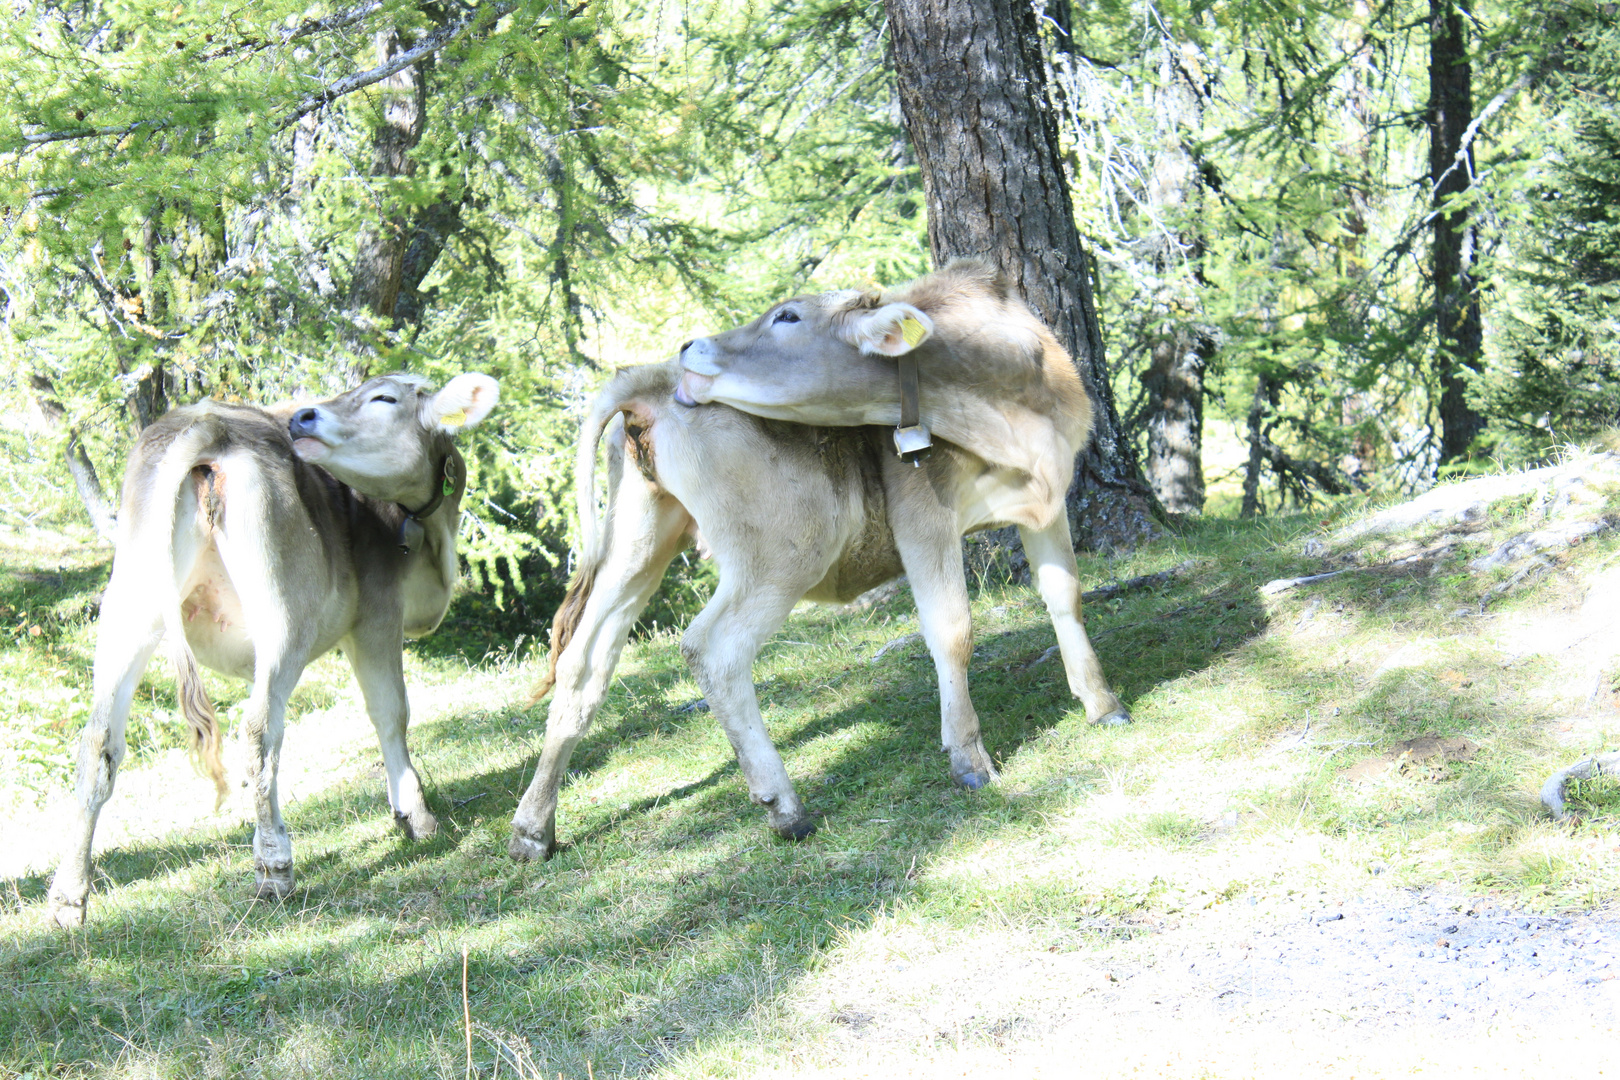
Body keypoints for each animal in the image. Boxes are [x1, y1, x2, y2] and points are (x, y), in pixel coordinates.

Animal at [47, 374, 495, 932]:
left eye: (382, 398)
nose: (302, 417)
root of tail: (208, 423)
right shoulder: (377, 614)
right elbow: (391, 712)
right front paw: (416, 815)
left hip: (130, 605)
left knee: (99, 741)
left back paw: (68, 897)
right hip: (285, 617)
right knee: (260, 728)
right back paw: (274, 868)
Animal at [511, 263, 1121, 861]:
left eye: (787, 316)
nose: (688, 345)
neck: (1008, 410)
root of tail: (652, 379)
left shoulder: (1046, 501)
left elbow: (1066, 595)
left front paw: (1102, 703)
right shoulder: (923, 516)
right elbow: (952, 631)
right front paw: (969, 759)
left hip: (639, 541)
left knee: (585, 663)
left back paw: (533, 829)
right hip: (783, 551)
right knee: (712, 649)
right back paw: (784, 806)